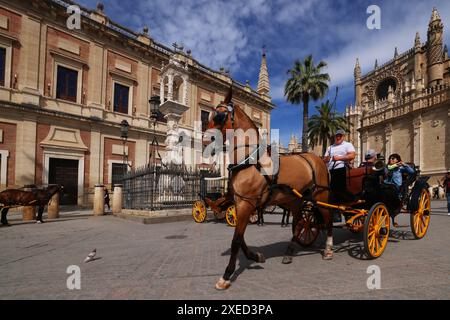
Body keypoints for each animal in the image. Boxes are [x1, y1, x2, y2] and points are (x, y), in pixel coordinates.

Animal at [206, 88, 332, 290]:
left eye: (220, 115)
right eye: (208, 115)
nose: (205, 141)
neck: (250, 160)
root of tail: (317, 158)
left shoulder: (246, 204)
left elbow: (236, 240)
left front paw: (226, 275)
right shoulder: (240, 203)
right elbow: (240, 238)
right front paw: (255, 256)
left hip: (321, 196)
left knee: (328, 219)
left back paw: (328, 249)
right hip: (295, 200)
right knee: (299, 224)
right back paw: (289, 251)